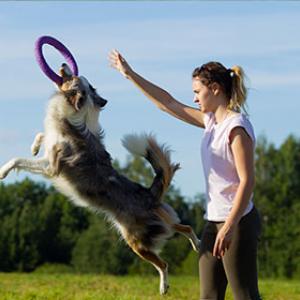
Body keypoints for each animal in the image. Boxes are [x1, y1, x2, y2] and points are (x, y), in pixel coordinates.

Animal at [0, 63, 202, 296]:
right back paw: (197, 244)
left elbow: (18, 160)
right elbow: (42, 135)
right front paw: (34, 146)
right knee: (184, 227)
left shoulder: (52, 166)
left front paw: (3, 171)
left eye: (72, 77)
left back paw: (164, 286)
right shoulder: (49, 150)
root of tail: (149, 194)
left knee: (164, 263)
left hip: (137, 241)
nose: (63, 65)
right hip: (159, 224)